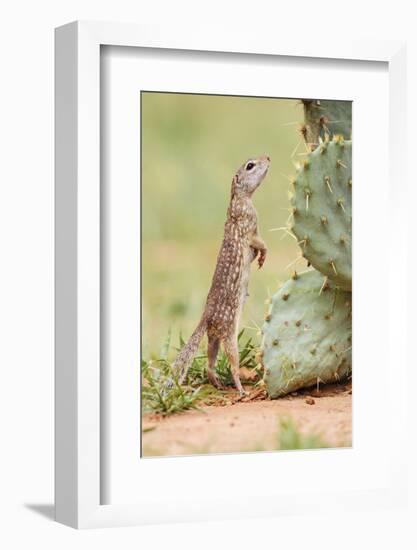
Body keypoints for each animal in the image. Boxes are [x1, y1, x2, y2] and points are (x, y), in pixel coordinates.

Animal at [171, 156, 270, 396]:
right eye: (250, 165)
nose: (268, 157)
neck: (237, 199)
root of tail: (205, 317)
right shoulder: (251, 226)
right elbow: (259, 242)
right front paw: (263, 255)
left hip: (213, 339)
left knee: (209, 361)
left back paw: (216, 382)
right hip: (229, 336)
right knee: (232, 364)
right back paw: (241, 389)